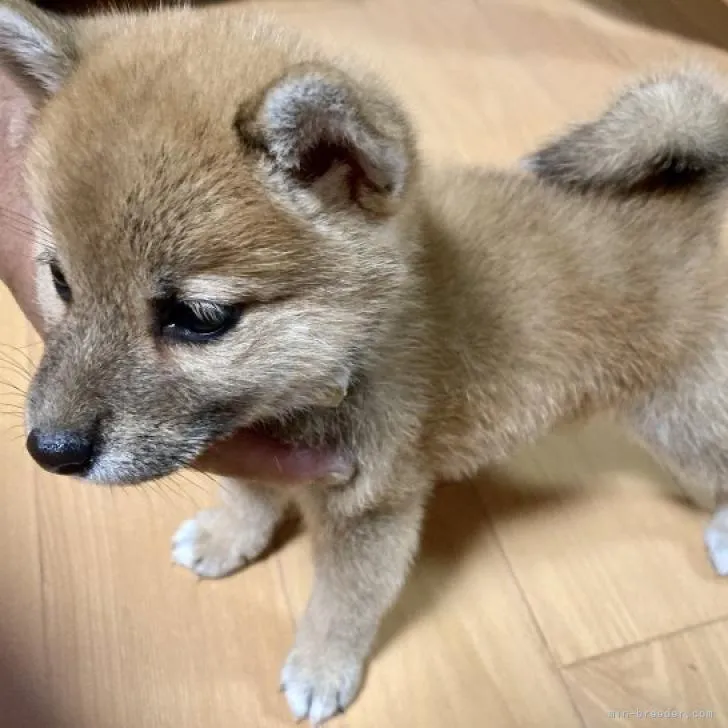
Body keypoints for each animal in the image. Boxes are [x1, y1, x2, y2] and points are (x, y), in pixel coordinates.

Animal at [5, 0, 728, 724]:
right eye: (60, 281)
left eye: (199, 318)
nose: (50, 450)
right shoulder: (249, 444)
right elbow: (249, 495)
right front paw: (227, 536)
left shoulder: (373, 508)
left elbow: (341, 605)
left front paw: (322, 668)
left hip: (681, 422)